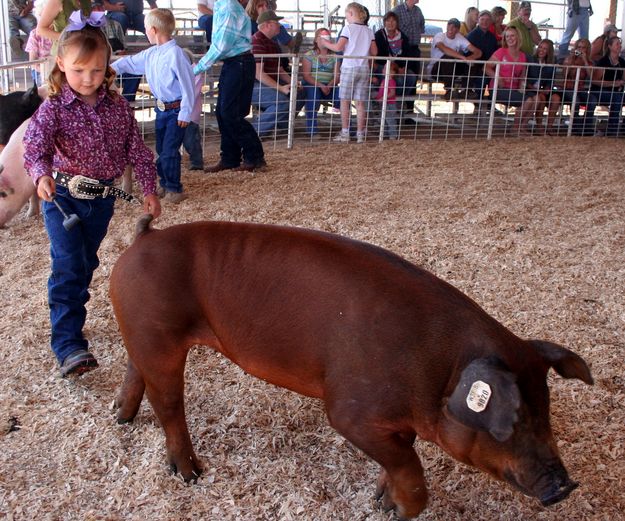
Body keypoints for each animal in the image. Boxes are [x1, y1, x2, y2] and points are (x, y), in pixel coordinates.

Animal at [109, 214, 592, 516]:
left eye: (546, 411)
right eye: (512, 421)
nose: (567, 485)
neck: (438, 371)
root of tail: (144, 237)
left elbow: (399, 459)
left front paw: (382, 502)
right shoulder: (350, 413)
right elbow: (409, 469)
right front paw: (400, 509)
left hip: (143, 333)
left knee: (137, 371)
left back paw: (120, 417)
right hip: (159, 334)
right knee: (169, 404)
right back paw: (191, 474)